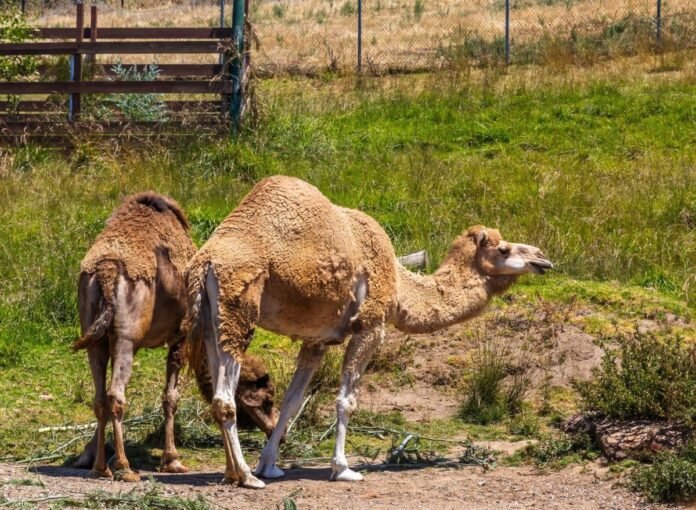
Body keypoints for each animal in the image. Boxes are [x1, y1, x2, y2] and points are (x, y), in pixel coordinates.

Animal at [73, 192, 279, 481]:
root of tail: (106, 270)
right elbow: (171, 397)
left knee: (101, 397)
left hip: (94, 332)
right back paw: (125, 468)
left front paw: (87, 455)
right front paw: (173, 460)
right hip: (126, 337)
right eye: (266, 400)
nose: (275, 430)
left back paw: (102, 467)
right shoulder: (181, 336)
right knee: (116, 396)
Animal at [184, 175, 552, 488]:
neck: (400, 283)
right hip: (239, 310)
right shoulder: (371, 326)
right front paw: (343, 468)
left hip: (213, 321)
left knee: (217, 390)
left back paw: (233, 472)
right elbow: (346, 400)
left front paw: (270, 465)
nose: (542, 258)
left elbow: (292, 400)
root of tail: (205, 262)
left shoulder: (316, 340)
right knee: (224, 398)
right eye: (504, 250)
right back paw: (246, 476)